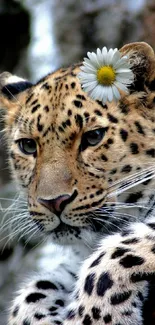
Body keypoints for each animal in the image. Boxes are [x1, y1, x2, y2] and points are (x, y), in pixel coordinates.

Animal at [1, 41, 155, 322]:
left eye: (93, 137)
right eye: (28, 146)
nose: (53, 202)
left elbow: (116, 253)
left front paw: (96, 317)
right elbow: (33, 292)